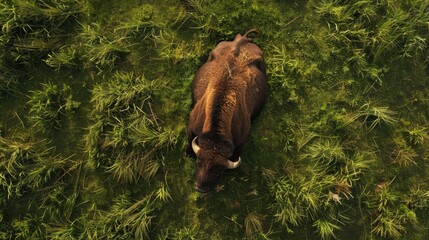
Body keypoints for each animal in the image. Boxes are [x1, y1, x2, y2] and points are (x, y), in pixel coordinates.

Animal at [185, 29, 266, 193]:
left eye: (220, 171)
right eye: (198, 162)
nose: (200, 188)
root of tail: (241, 40)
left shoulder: (242, 139)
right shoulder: (191, 126)